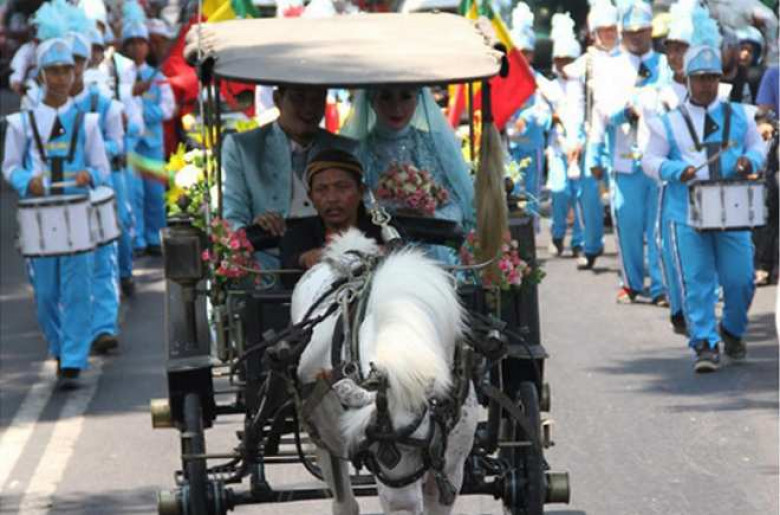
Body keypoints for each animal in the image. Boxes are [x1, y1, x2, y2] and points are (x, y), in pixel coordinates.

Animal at [290, 230, 478, 515]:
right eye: (372, 451)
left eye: (419, 447)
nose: (402, 508)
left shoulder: (453, 468)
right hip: (324, 436)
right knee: (343, 500)